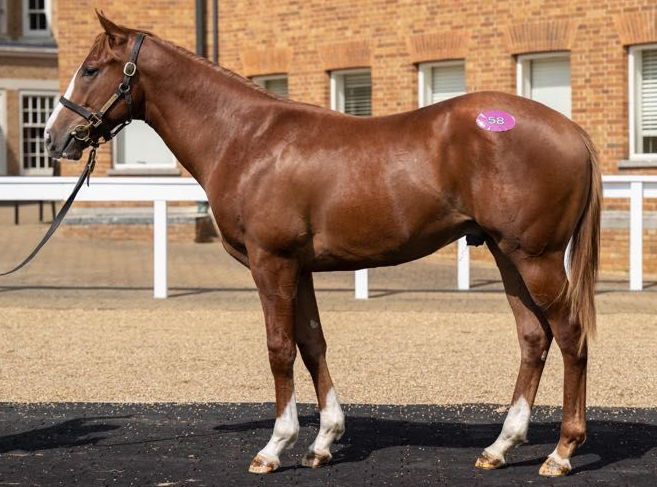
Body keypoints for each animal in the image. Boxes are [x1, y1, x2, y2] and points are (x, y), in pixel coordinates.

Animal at [44, 12, 601, 477]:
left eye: (91, 69)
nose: (55, 138)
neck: (246, 138)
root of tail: (573, 131)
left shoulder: (271, 263)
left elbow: (279, 349)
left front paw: (275, 447)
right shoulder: (301, 267)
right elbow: (312, 343)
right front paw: (323, 441)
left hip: (536, 259)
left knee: (570, 336)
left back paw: (561, 452)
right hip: (508, 256)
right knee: (533, 338)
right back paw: (500, 447)